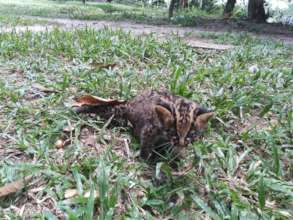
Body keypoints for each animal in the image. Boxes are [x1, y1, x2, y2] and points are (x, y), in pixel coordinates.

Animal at [74, 89, 213, 160]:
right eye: (173, 132)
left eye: (191, 134)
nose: (182, 143)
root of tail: (130, 104)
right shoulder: (150, 128)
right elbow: (146, 142)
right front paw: (144, 157)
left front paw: (178, 154)